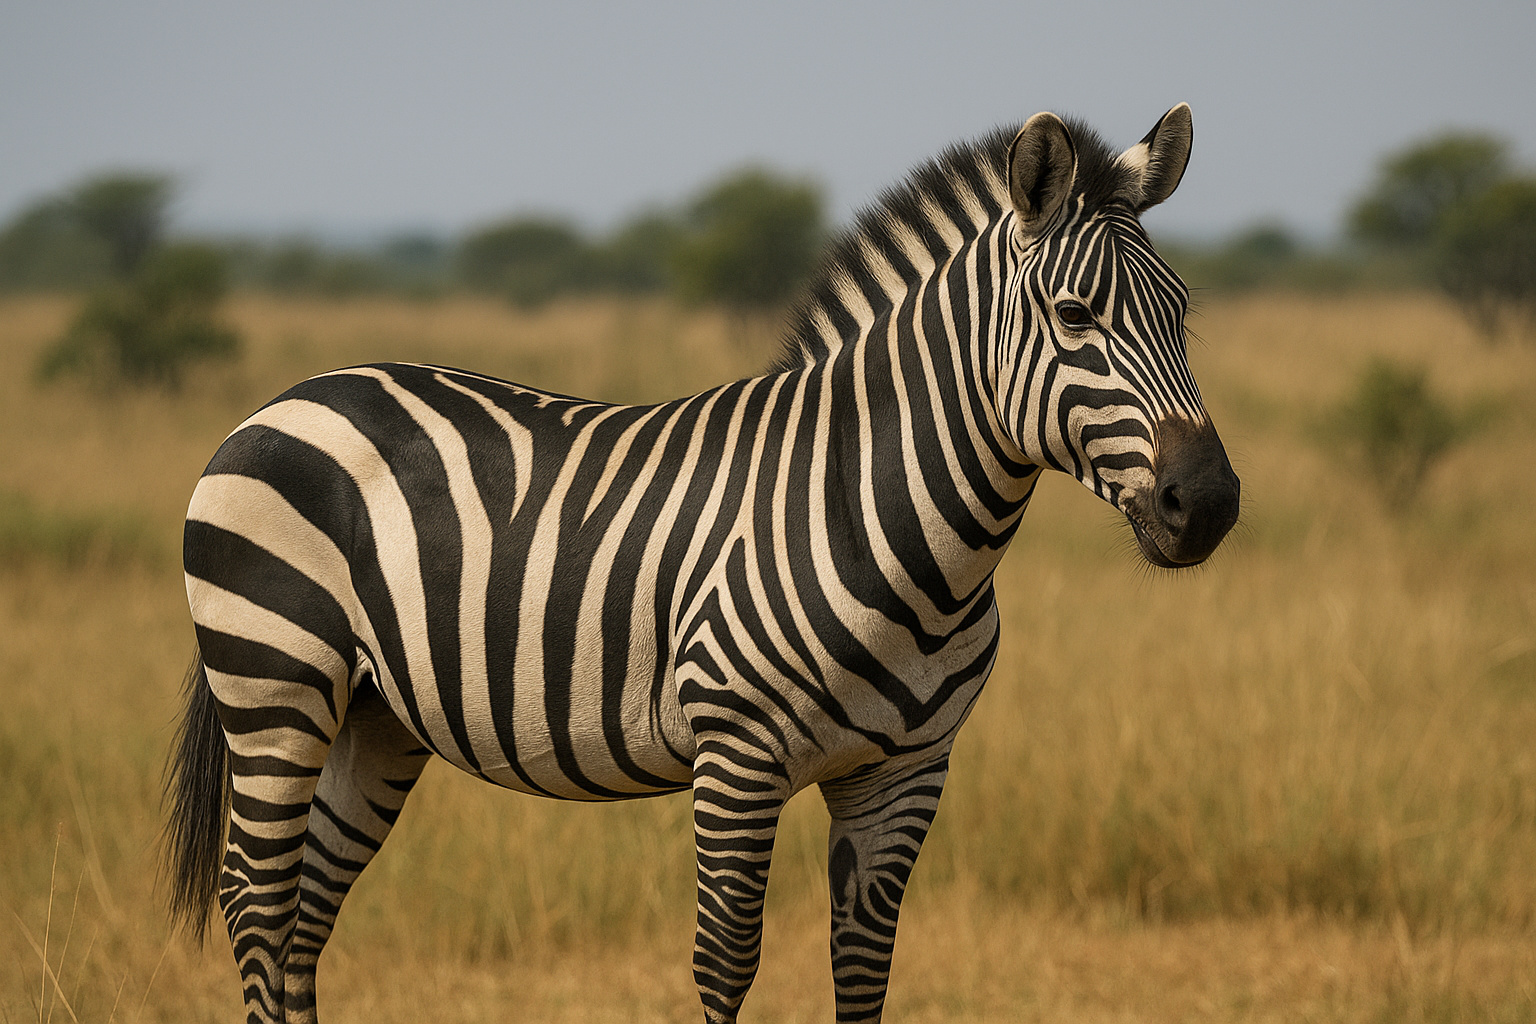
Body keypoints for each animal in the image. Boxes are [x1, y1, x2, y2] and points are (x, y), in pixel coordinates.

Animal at [165, 103, 1240, 1023]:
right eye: (1075, 315)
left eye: (1183, 311)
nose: (1211, 504)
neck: (898, 536)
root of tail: (295, 393)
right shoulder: (738, 756)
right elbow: (726, 964)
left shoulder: (906, 773)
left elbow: (864, 969)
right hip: (276, 682)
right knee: (256, 907)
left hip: (375, 713)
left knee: (305, 918)